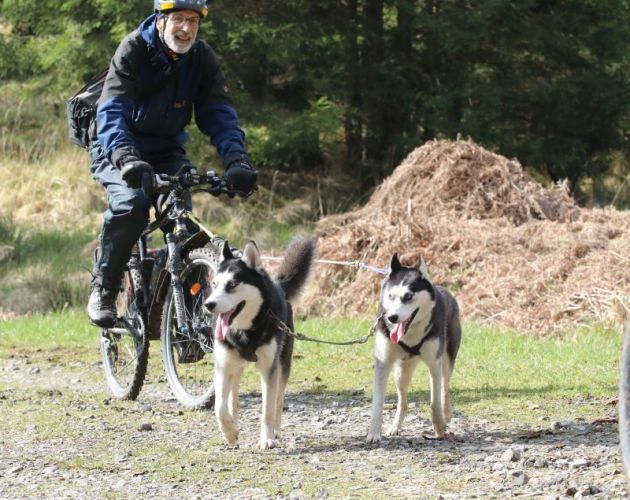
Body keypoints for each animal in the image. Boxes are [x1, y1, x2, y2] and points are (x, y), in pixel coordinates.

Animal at [206, 235, 316, 450]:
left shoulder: (269, 369)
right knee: (233, 397)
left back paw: (276, 428)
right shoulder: (223, 366)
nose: (208, 304)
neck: (245, 330)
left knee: (279, 398)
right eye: (214, 284)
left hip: (283, 363)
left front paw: (266, 438)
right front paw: (230, 433)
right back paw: (234, 421)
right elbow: (219, 407)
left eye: (232, 285)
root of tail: (278, 285)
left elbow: (268, 408)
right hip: (235, 366)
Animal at [366, 254, 464, 442]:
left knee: (445, 387)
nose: (392, 317)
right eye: (390, 296)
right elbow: (378, 402)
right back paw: (395, 426)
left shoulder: (434, 363)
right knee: (403, 401)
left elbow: (435, 402)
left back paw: (447, 413)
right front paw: (374, 433)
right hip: (401, 372)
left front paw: (439, 429)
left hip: (447, 361)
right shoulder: (383, 362)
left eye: (409, 296)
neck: (410, 334)